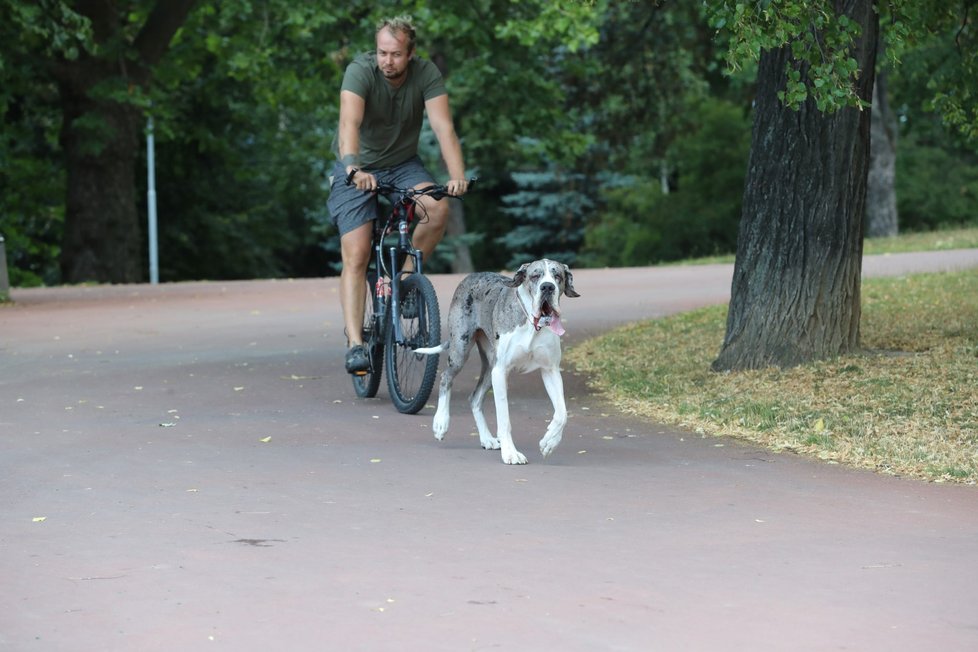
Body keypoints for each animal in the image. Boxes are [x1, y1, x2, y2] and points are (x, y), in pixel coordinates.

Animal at [414, 260, 580, 464]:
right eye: (535, 276)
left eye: (558, 277)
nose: (547, 287)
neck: (532, 326)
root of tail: (472, 275)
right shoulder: (501, 372)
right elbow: (504, 419)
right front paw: (510, 453)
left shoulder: (551, 371)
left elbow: (562, 413)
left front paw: (549, 442)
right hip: (461, 350)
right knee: (446, 377)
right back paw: (441, 423)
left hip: (490, 368)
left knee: (475, 398)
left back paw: (486, 438)